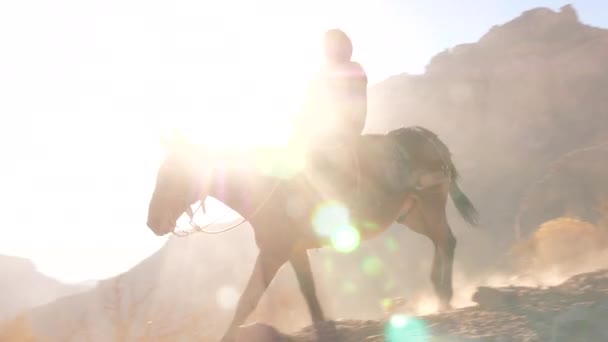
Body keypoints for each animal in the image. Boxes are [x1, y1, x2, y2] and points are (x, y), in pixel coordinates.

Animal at [146, 126, 476, 342]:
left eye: (172, 174)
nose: (152, 222)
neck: (264, 185)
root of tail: (425, 135)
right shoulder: (294, 251)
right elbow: (310, 294)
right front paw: (324, 328)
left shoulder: (274, 253)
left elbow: (246, 301)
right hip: (412, 214)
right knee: (440, 241)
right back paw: (437, 290)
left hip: (431, 201)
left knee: (446, 241)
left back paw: (445, 297)